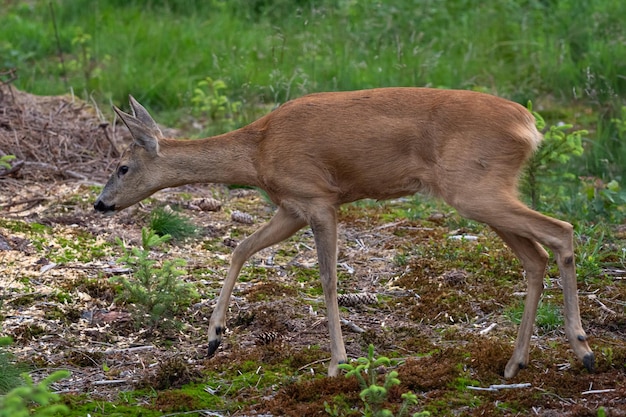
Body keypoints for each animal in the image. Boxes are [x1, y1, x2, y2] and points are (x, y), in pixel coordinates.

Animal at [95, 88, 592, 376]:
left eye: (122, 166)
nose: (101, 203)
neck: (257, 153)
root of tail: (528, 126)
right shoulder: (291, 207)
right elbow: (240, 248)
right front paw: (214, 338)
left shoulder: (319, 199)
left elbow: (329, 280)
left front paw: (338, 363)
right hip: (483, 191)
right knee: (536, 257)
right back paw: (515, 363)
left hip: (475, 188)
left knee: (561, 231)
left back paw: (583, 351)